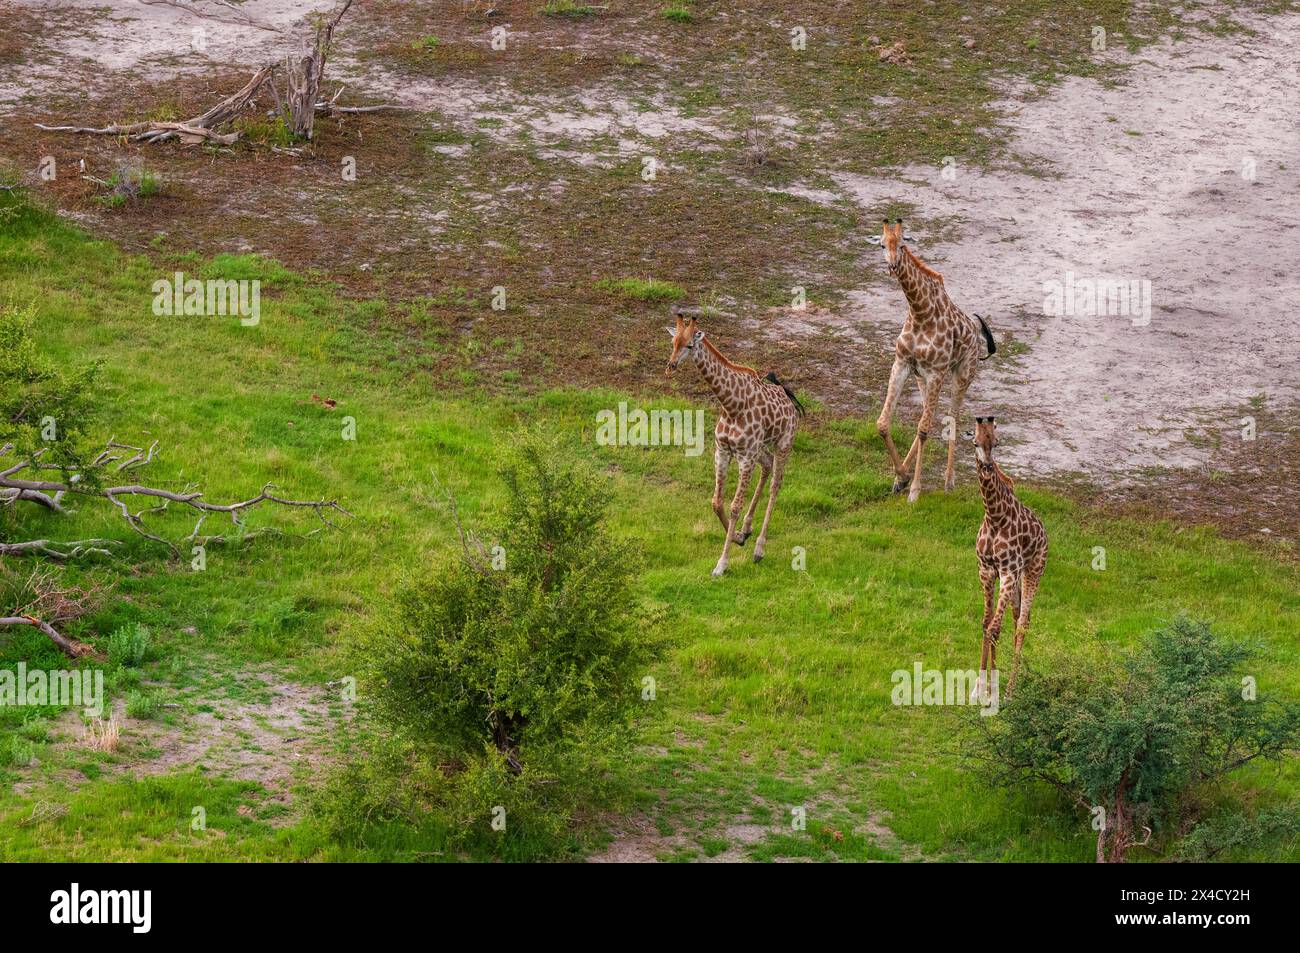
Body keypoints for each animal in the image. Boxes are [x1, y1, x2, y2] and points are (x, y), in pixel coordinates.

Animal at [670, 308, 800, 577]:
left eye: (689, 345)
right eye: (672, 342)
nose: (671, 365)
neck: (731, 405)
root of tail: (788, 397)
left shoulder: (745, 458)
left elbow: (734, 507)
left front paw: (722, 564)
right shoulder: (723, 451)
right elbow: (716, 501)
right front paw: (738, 536)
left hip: (783, 444)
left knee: (776, 484)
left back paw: (759, 549)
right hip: (760, 448)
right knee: (767, 466)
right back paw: (747, 529)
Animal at [868, 218, 998, 501]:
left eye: (902, 245)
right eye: (882, 244)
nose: (892, 266)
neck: (919, 313)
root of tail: (976, 331)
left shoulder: (936, 371)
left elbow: (925, 430)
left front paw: (915, 491)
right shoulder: (902, 363)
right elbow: (883, 423)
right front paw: (901, 478)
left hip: (962, 374)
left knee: (952, 418)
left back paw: (949, 482)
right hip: (922, 378)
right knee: (930, 414)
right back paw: (906, 476)